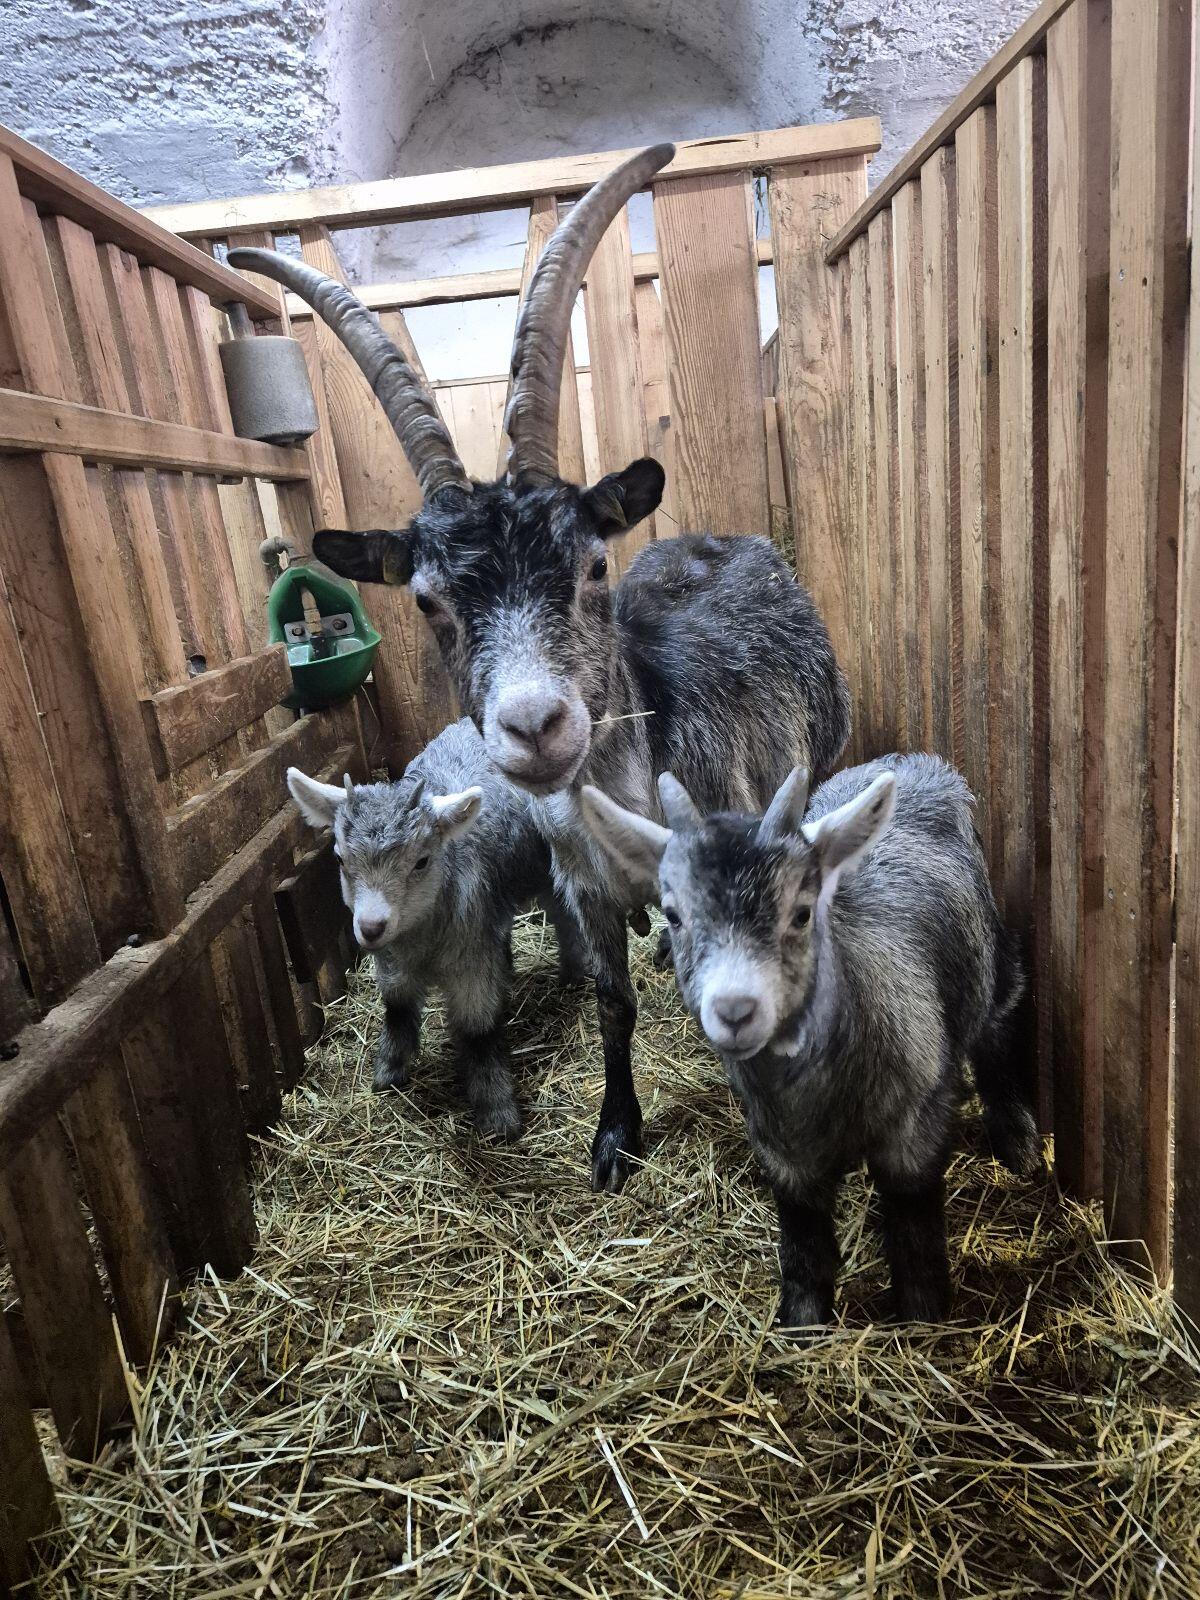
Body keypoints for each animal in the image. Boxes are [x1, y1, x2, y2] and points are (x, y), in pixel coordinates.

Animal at [287, 719, 586, 1141]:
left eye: (422, 861)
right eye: (341, 859)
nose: (371, 926)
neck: (421, 941)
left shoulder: (471, 962)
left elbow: (479, 1028)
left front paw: (497, 1111)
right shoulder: (394, 963)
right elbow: (397, 1007)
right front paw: (388, 1072)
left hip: (547, 861)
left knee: (564, 912)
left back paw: (575, 974)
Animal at [581, 754, 1040, 1326]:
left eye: (801, 913)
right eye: (674, 915)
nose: (735, 1009)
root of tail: (913, 762)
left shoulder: (915, 1131)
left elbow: (915, 1236)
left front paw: (924, 1317)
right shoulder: (784, 1154)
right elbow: (804, 1247)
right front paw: (802, 1322)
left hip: (989, 948)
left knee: (1000, 1011)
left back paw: (1018, 1137)